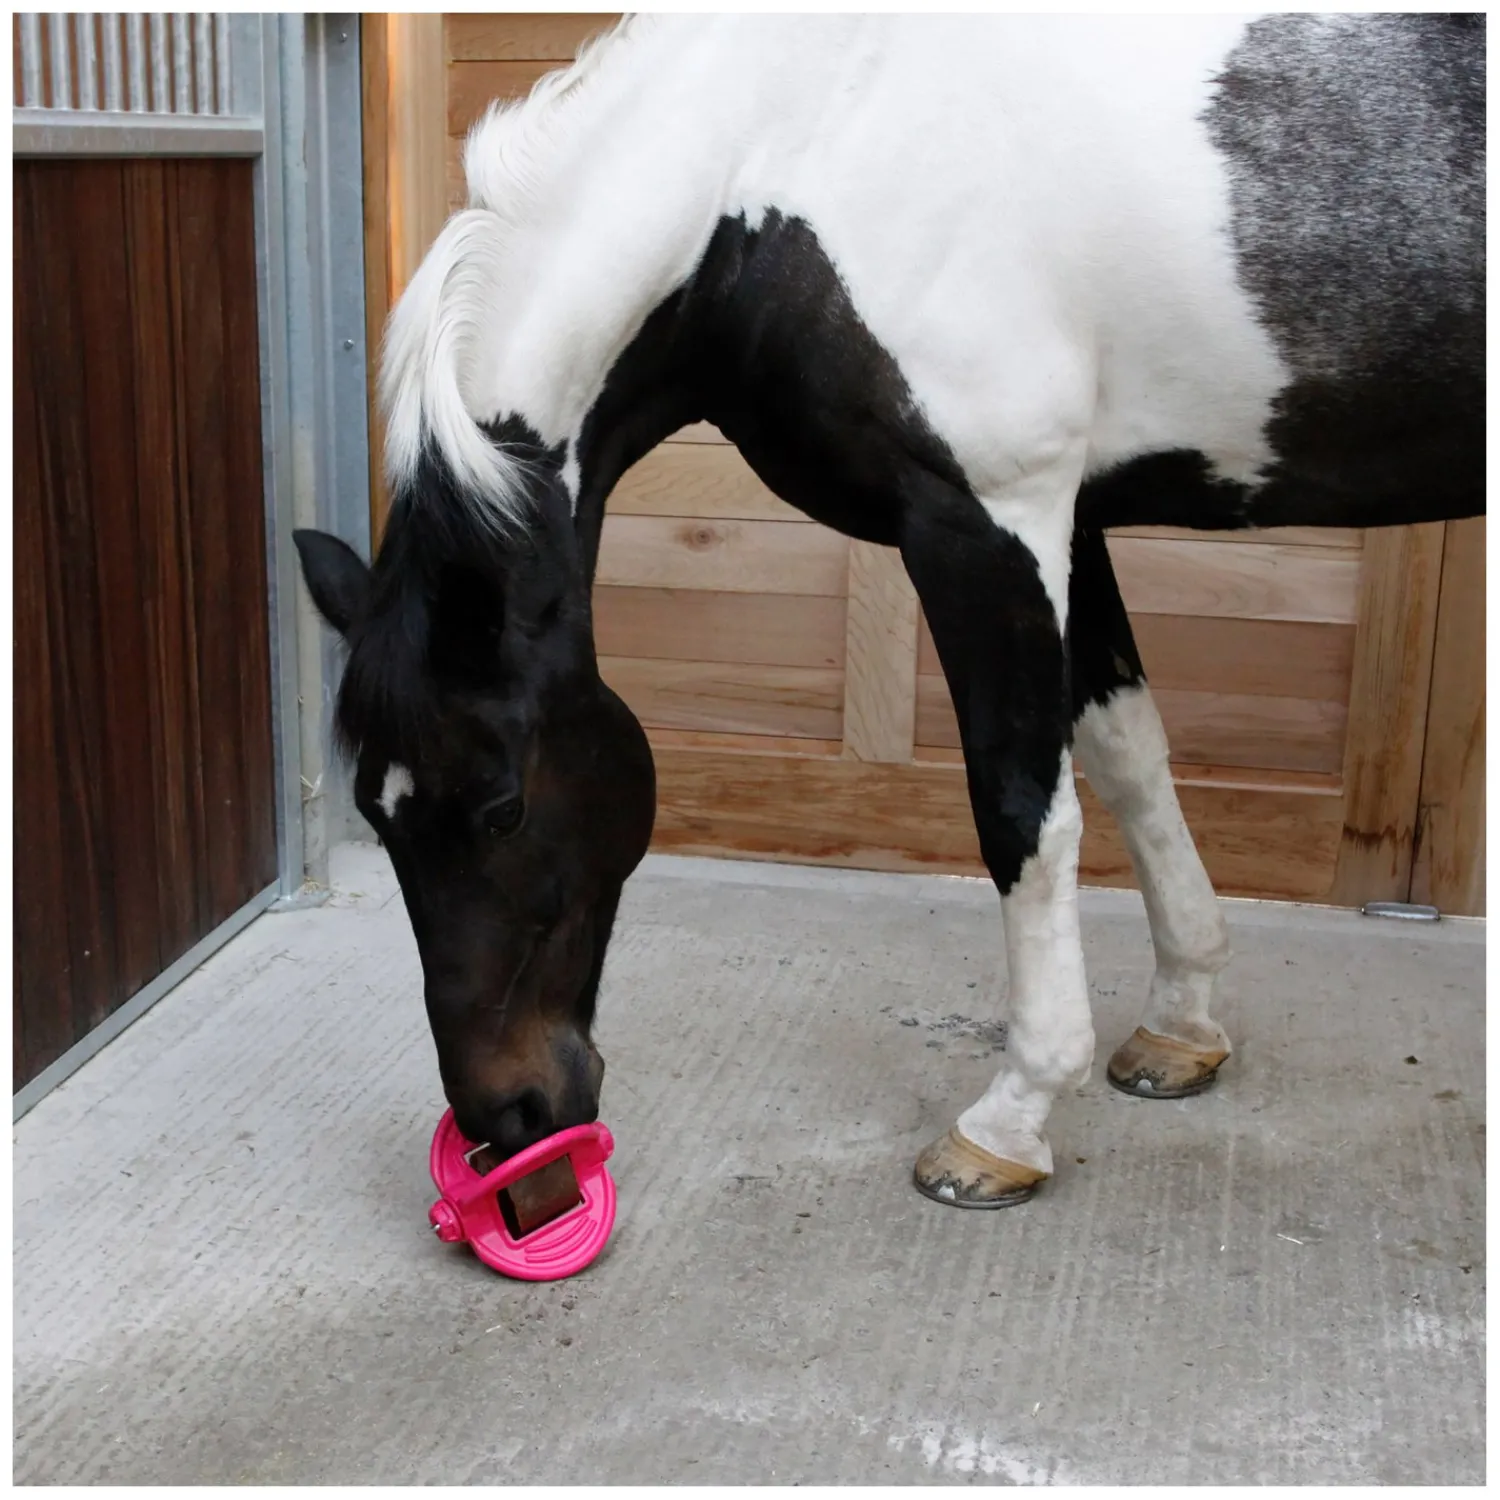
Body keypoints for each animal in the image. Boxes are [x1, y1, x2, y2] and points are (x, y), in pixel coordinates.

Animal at [294, 14, 1484, 1209]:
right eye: (378, 817)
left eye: (501, 809)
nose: (511, 1130)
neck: (795, 153)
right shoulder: (1071, 520)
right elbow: (1130, 758)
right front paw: (1180, 1023)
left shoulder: (986, 520)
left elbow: (1022, 809)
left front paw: (1010, 1119)